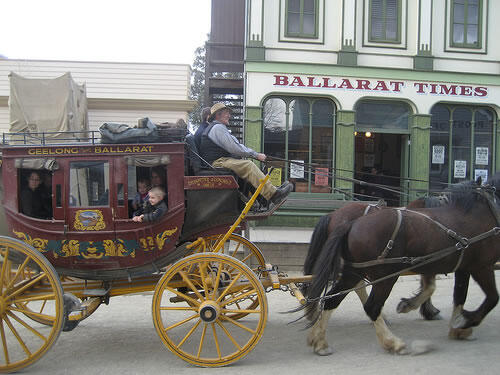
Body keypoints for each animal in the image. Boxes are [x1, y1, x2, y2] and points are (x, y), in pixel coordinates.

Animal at [300, 173, 500, 356]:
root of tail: (346, 221)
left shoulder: (460, 266)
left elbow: (457, 294)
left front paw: (454, 325)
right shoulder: (481, 266)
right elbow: (491, 298)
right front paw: (463, 321)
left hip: (355, 270)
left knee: (334, 298)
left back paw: (320, 341)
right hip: (384, 274)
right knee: (371, 305)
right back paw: (393, 342)